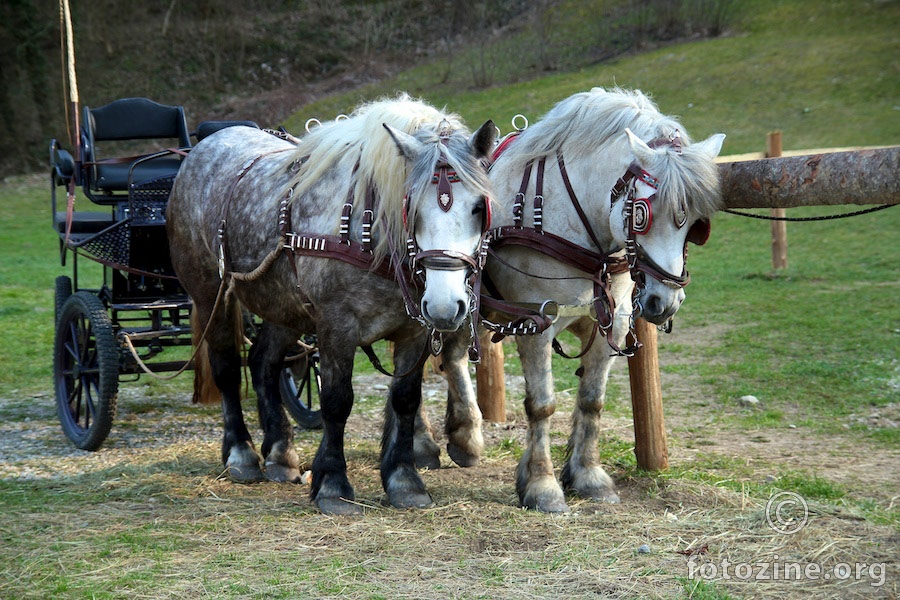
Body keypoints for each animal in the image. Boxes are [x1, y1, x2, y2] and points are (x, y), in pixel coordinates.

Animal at [420, 88, 724, 510]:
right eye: (641, 214)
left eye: (696, 223)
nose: (666, 301)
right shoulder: (535, 324)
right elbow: (542, 404)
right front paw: (542, 485)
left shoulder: (611, 324)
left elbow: (592, 400)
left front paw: (589, 476)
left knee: (451, 357)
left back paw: (464, 436)